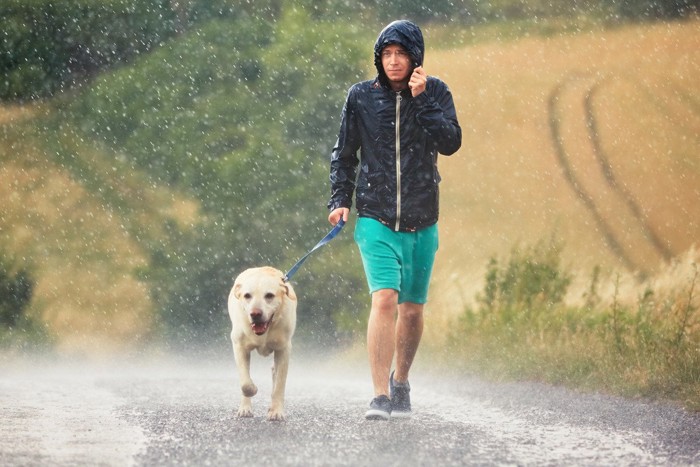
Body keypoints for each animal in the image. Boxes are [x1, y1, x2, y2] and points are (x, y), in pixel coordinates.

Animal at [228, 268, 296, 422]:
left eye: (269, 295)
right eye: (247, 295)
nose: (255, 314)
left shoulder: (283, 349)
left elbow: (279, 385)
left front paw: (276, 412)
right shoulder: (239, 346)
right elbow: (245, 383)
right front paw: (252, 391)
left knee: (274, 373)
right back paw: (245, 409)